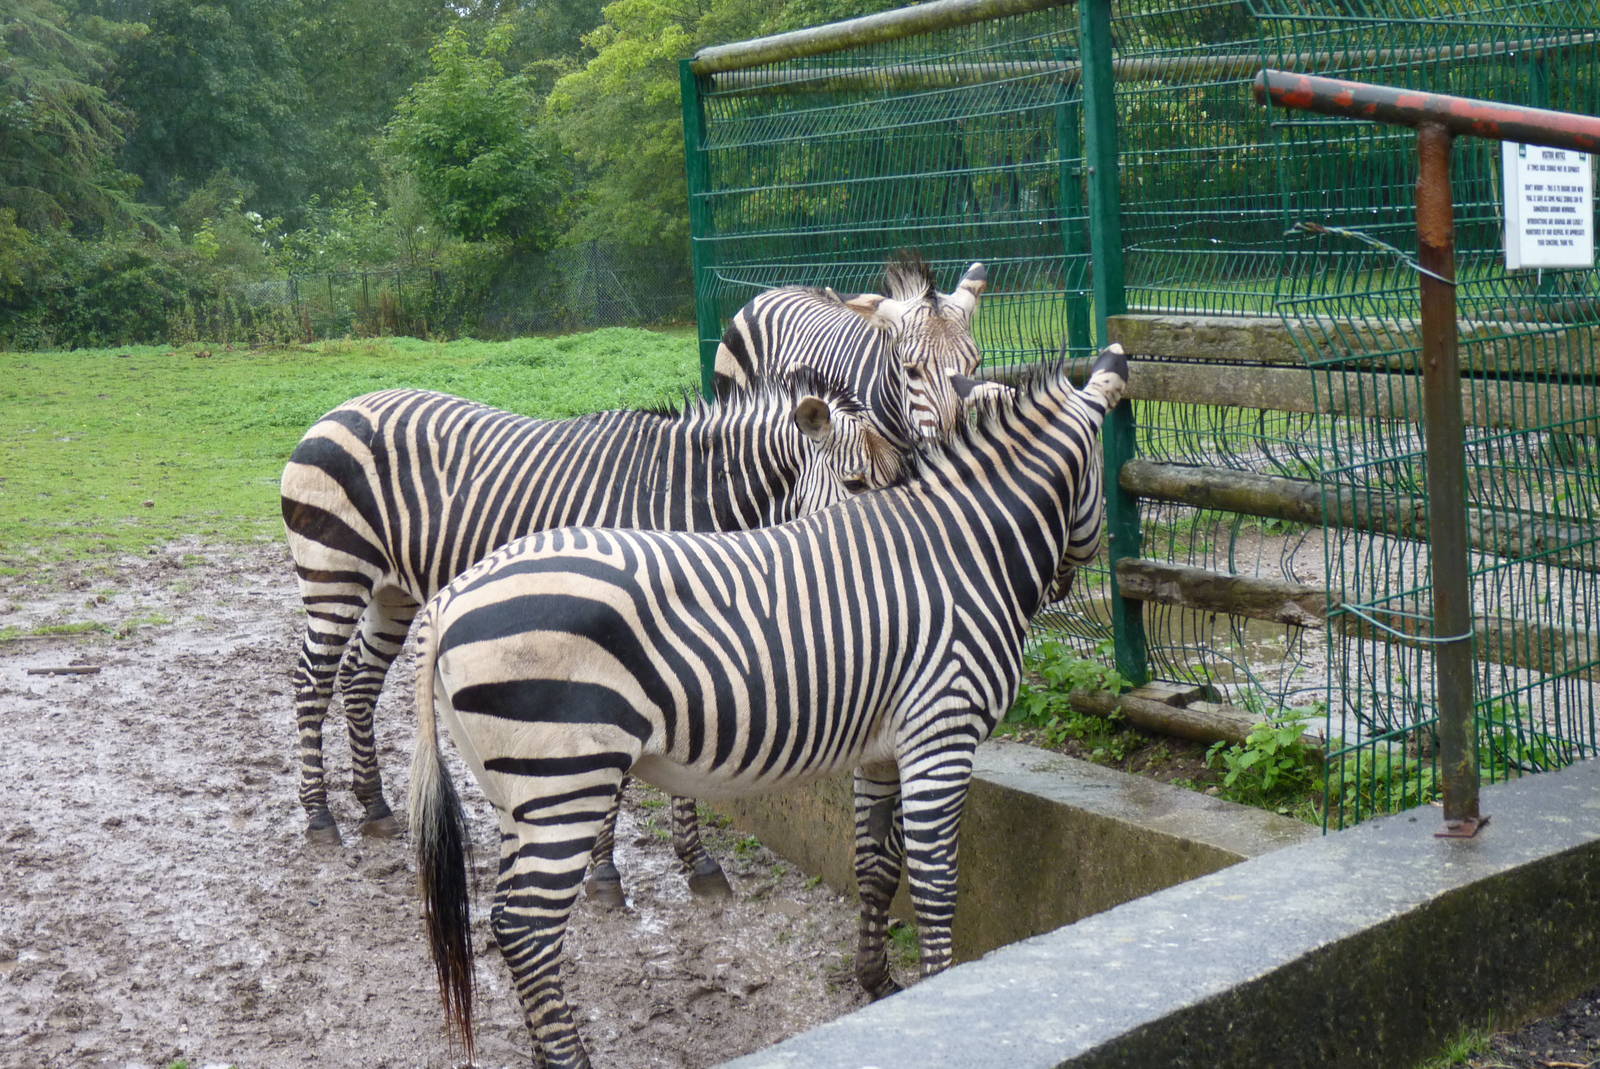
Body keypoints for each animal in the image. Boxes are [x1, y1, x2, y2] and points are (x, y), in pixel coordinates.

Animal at [281, 376, 900, 905]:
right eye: (854, 485)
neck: (682, 502)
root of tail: (344, 406)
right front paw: (604, 874)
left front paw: (696, 860)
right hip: (334, 575)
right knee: (312, 683)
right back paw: (320, 816)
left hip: (392, 590)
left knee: (360, 682)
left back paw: (375, 806)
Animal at [409, 345, 1130, 1068]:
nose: (1066, 582)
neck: (965, 551)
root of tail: (448, 600)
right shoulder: (942, 734)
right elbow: (934, 882)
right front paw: (940, 999)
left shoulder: (884, 749)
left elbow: (877, 867)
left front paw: (877, 981)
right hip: (565, 779)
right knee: (526, 926)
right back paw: (571, 1057)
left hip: (516, 789)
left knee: (506, 918)